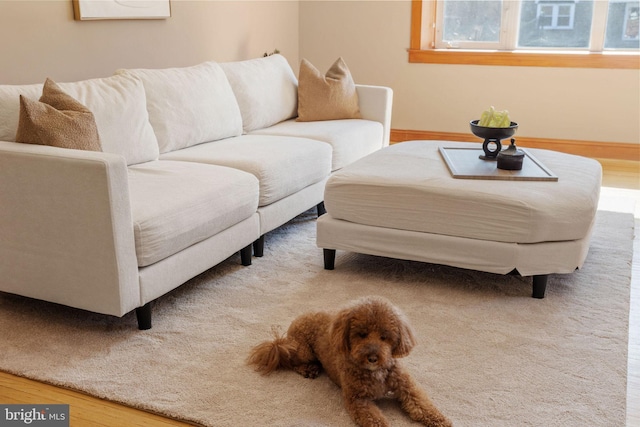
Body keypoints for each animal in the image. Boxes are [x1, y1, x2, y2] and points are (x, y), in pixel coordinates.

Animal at [248, 298, 452, 427]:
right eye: (361, 334)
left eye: (384, 337)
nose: (372, 357)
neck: (375, 371)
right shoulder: (358, 400)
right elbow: (376, 420)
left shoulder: (407, 386)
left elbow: (424, 405)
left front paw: (441, 421)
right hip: (302, 350)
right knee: (291, 362)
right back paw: (309, 369)